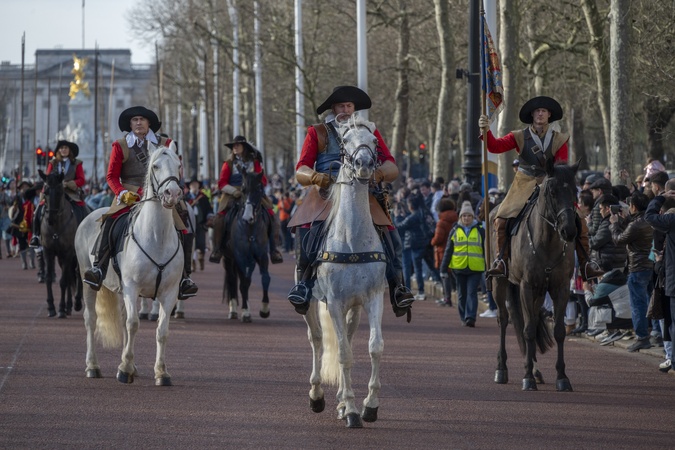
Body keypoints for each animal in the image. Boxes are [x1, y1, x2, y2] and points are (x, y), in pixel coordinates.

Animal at [38, 170, 84, 318]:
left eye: (59, 192)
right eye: (45, 191)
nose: (50, 219)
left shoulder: (68, 252)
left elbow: (63, 281)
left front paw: (61, 309)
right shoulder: (49, 251)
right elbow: (48, 278)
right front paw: (51, 307)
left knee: (76, 274)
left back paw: (76, 303)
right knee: (70, 275)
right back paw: (69, 305)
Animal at [74, 143, 184, 385]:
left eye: (178, 165)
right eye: (155, 165)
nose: (172, 193)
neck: (157, 237)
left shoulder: (169, 292)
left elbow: (162, 330)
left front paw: (161, 372)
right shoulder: (132, 287)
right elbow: (133, 325)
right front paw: (124, 370)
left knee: (124, 319)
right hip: (89, 283)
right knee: (91, 320)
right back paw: (92, 366)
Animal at [222, 168, 271, 322]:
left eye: (259, 189)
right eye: (243, 190)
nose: (247, 217)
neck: (250, 229)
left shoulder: (261, 256)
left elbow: (265, 278)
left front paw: (264, 309)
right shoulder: (241, 257)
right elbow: (243, 283)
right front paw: (245, 312)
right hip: (229, 259)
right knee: (232, 280)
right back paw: (233, 310)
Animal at [303, 115, 387, 428]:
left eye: (374, 140)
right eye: (346, 139)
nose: (364, 163)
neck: (352, 239)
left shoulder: (373, 298)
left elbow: (374, 347)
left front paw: (369, 405)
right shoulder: (335, 302)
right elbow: (341, 353)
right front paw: (351, 409)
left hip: (354, 307)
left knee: (348, 339)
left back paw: (339, 400)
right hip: (312, 303)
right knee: (317, 340)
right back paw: (317, 395)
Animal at [489, 158, 580, 391]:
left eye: (575, 191)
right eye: (552, 191)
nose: (569, 231)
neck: (546, 241)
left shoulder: (560, 288)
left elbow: (558, 330)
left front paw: (562, 377)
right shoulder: (526, 286)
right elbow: (529, 330)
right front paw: (527, 378)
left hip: (538, 292)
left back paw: (535, 370)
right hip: (499, 282)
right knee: (504, 319)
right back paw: (501, 369)